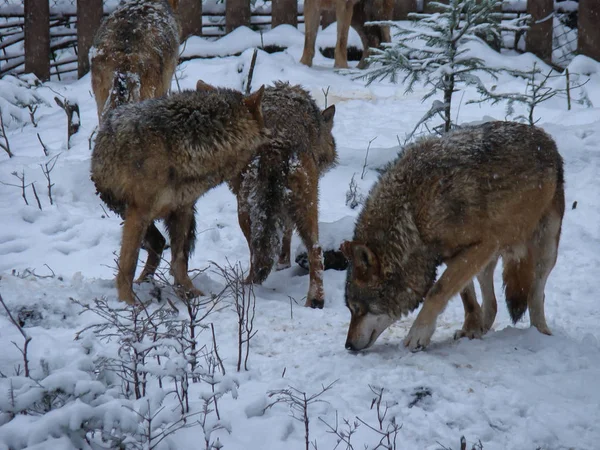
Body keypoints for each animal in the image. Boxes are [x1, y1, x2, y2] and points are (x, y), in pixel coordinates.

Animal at [90, 83, 266, 306]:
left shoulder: (183, 209)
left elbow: (179, 261)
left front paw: (192, 294)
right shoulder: (138, 213)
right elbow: (128, 265)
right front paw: (129, 303)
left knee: (159, 244)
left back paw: (148, 284)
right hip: (129, 213)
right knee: (154, 246)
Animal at [225, 81, 338, 308]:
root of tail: (276, 145)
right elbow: (285, 235)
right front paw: (284, 264)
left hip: (244, 211)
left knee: (255, 253)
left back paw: (248, 285)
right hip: (307, 208)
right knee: (316, 250)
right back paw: (315, 301)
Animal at [340, 122, 564, 352]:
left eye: (357, 309)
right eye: (350, 309)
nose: (348, 345)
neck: (415, 210)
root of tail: (544, 136)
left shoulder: (484, 244)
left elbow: (438, 290)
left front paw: (418, 335)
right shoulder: (452, 254)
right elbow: (466, 296)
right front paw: (470, 329)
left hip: (545, 249)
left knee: (536, 294)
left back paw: (540, 333)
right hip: (488, 263)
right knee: (492, 303)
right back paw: (482, 328)